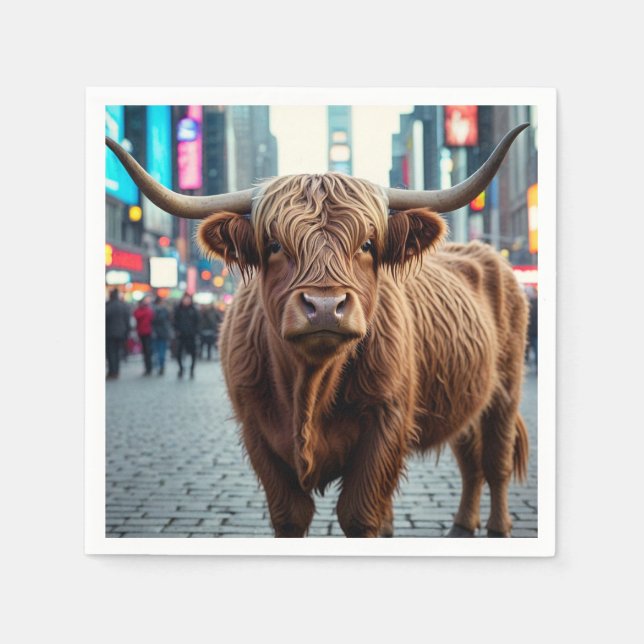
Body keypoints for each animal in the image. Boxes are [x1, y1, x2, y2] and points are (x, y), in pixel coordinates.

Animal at [106, 123, 530, 538]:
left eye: (368, 244)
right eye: (274, 245)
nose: (325, 306)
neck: (308, 389)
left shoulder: (387, 422)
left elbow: (359, 515)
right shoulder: (256, 430)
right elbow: (290, 516)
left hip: (506, 390)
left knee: (496, 461)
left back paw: (498, 527)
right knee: (470, 458)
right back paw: (462, 522)